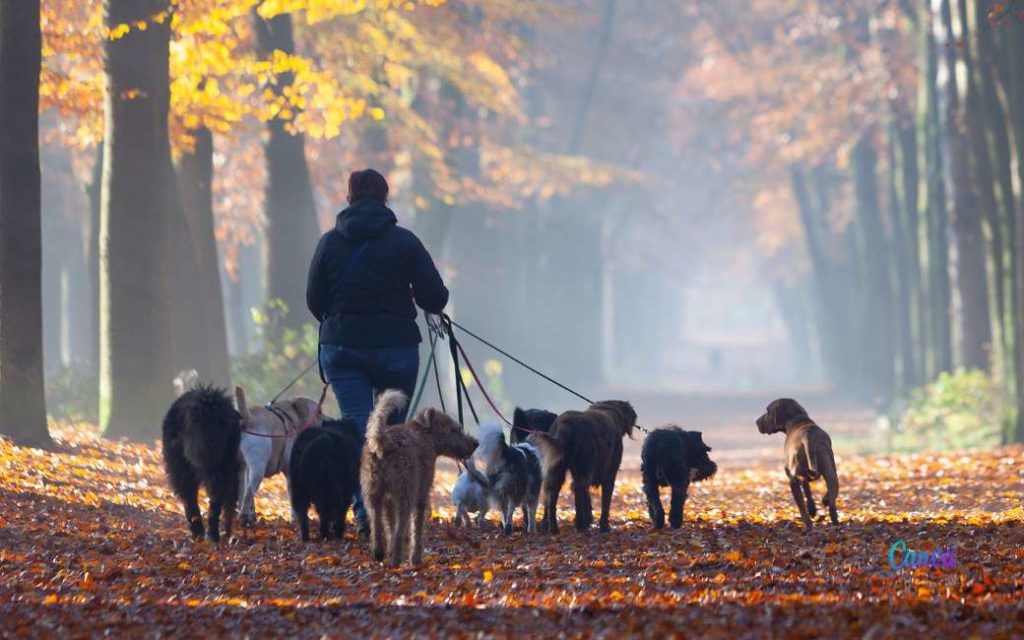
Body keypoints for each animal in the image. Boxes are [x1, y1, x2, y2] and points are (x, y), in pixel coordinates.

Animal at [236, 385, 323, 524]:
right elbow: (293, 498)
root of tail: (248, 418)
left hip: (241, 469)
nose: (330, 420)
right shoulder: (291, 473)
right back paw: (244, 516)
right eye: (319, 412)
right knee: (248, 493)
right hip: (257, 468)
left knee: (241, 493)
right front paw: (296, 519)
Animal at [362, 389, 477, 565]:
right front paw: (415, 557)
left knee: (377, 528)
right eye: (454, 430)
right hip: (406, 495)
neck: (425, 435)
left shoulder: (388, 500)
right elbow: (416, 527)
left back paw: (379, 554)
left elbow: (390, 526)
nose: (475, 443)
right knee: (399, 532)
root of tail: (383, 443)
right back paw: (397, 561)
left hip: (373, 497)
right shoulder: (421, 494)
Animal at [753, 397, 839, 528]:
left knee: (803, 510)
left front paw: (812, 509)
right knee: (833, 500)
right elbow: (809, 490)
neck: (797, 419)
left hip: (793, 480)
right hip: (830, 471)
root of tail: (808, 437)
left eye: (768, 411)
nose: (756, 422)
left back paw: (808, 527)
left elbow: (806, 492)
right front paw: (819, 505)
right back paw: (834, 520)